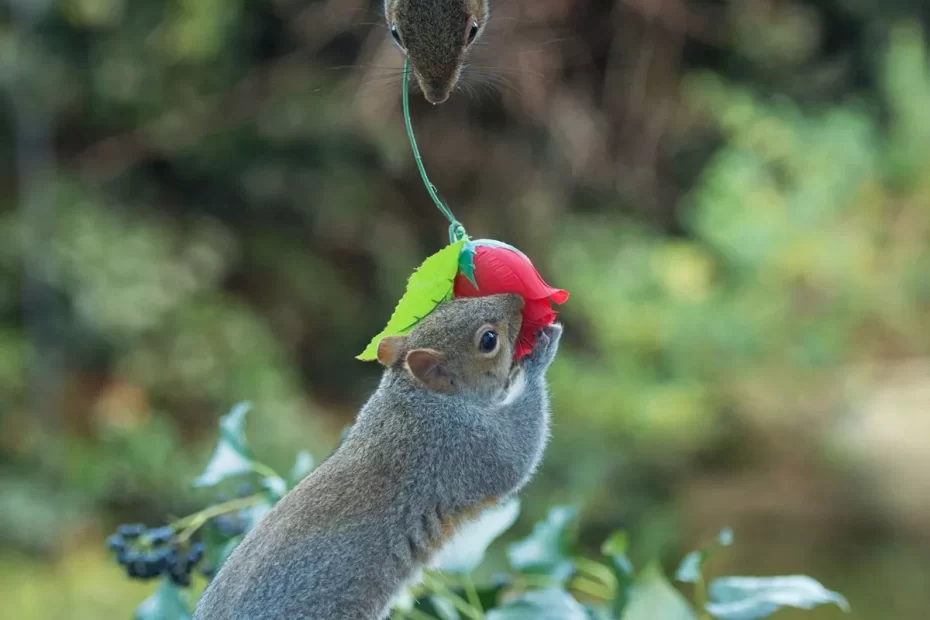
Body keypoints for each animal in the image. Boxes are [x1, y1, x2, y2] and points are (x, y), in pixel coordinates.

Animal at [192, 294, 560, 620]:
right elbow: (517, 452)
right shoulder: (459, 445)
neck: (413, 396)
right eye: (488, 340)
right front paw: (540, 354)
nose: (518, 301)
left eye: (446, 302)